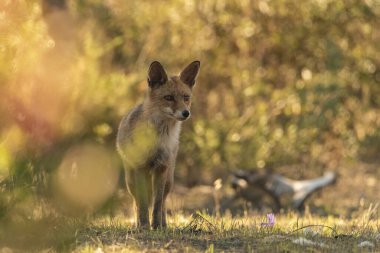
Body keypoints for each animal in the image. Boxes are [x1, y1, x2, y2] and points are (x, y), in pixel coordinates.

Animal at [116, 60, 200, 228]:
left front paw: (156, 226)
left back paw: (164, 224)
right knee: (136, 202)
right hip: (131, 181)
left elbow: (157, 203)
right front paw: (144, 226)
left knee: (163, 202)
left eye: (186, 97)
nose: (186, 113)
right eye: (169, 97)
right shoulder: (141, 168)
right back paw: (137, 224)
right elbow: (142, 204)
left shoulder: (162, 168)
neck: (159, 139)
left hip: (169, 180)